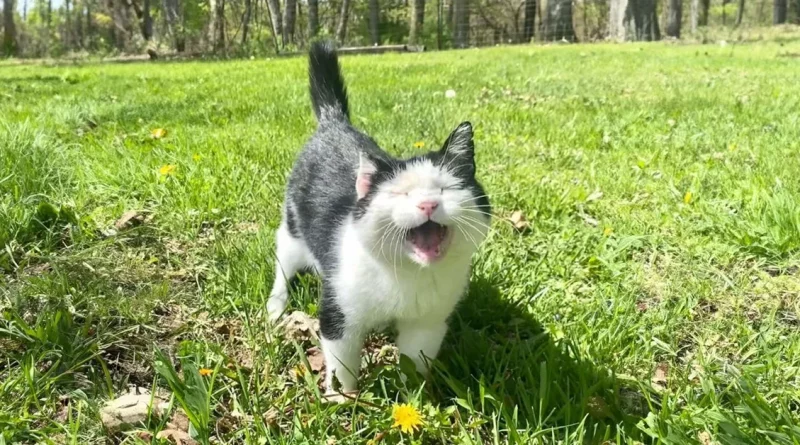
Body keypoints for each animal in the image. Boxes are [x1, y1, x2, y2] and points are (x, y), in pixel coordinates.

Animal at [268, 40, 494, 394]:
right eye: (399, 194)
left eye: (445, 189)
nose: (428, 204)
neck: (409, 275)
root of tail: (334, 123)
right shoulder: (339, 317)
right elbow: (343, 365)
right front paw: (345, 398)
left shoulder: (428, 324)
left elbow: (415, 362)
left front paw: (413, 396)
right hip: (292, 232)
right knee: (283, 264)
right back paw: (276, 305)